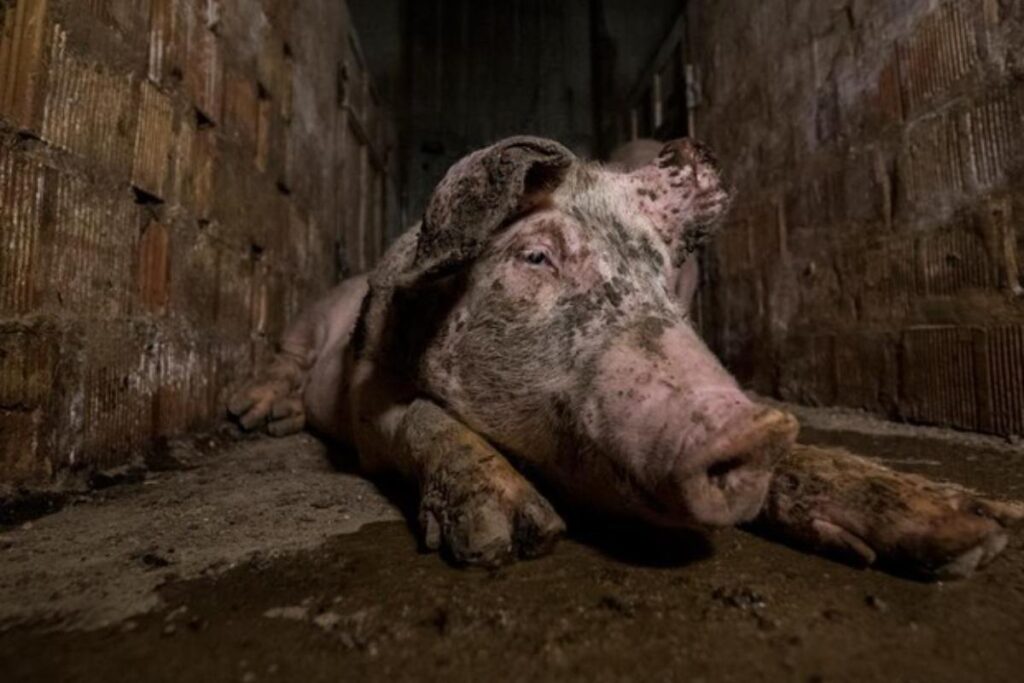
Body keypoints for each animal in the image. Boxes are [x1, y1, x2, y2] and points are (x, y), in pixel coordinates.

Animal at [229, 136, 1023, 577]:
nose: (753, 428)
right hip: (311, 319)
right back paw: (252, 417)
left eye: (660, 273)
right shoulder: (367, 398)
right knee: (284, 357)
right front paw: (509, 536)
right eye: (535, 256)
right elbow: (421, 421)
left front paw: (978, 535)